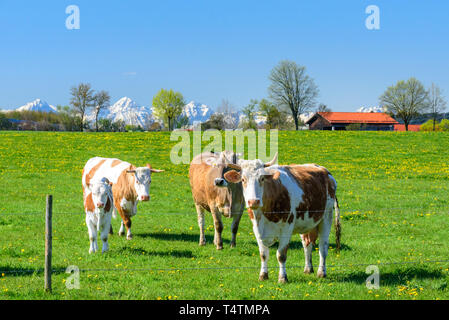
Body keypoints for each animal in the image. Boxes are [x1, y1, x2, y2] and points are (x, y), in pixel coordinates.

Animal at [222, 153, 342, 282]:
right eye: (243, 179)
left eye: (262, 178)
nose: (253, 201)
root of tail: (324, 170)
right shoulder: (257, 229)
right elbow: (263, 254)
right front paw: (263, 275)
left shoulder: (286, 228)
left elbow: (281, 255)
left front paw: (283, 277)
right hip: (306, 222)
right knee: (307, 244)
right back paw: (308, 269)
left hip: (326, 217)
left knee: (323, 247)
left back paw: (321, 272)